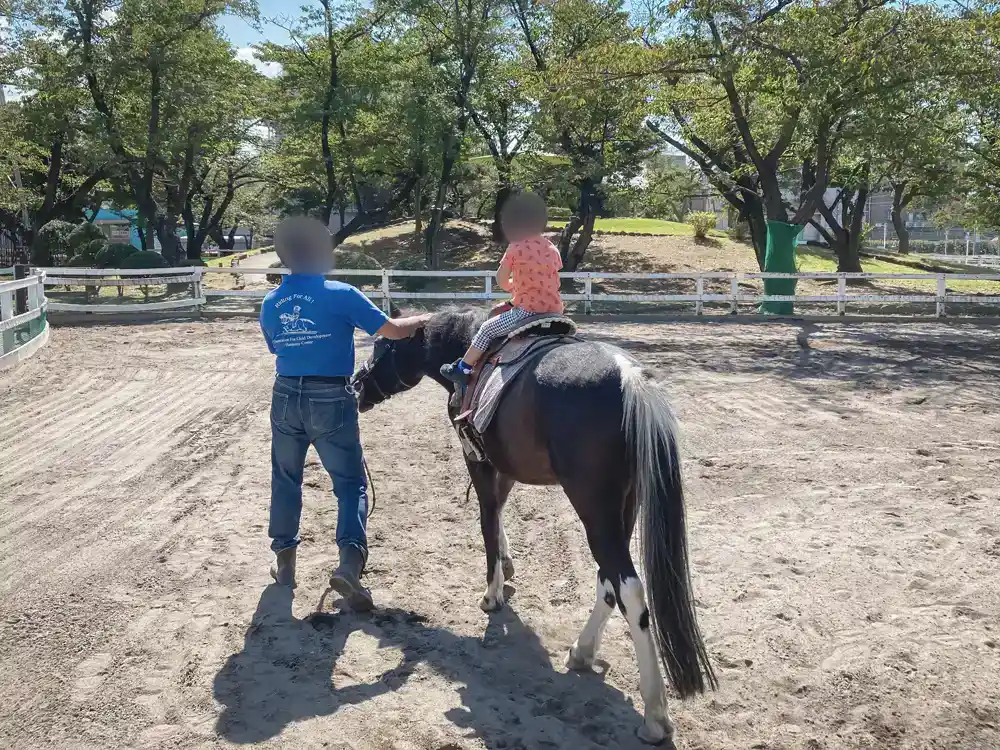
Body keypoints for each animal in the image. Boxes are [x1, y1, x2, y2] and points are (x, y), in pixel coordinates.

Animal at [351, 308, 717, 745]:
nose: (356, 385)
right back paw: (582, 652)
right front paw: (508, 566)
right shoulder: (505, 466)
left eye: (383, 345)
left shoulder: (478, 460)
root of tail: (630, 379)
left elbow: (487, 520)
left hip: (595, 507)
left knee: (628, 588)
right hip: (623, 507)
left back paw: (655, 715)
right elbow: (500, 513)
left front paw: (492, 593)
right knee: (608, 580)